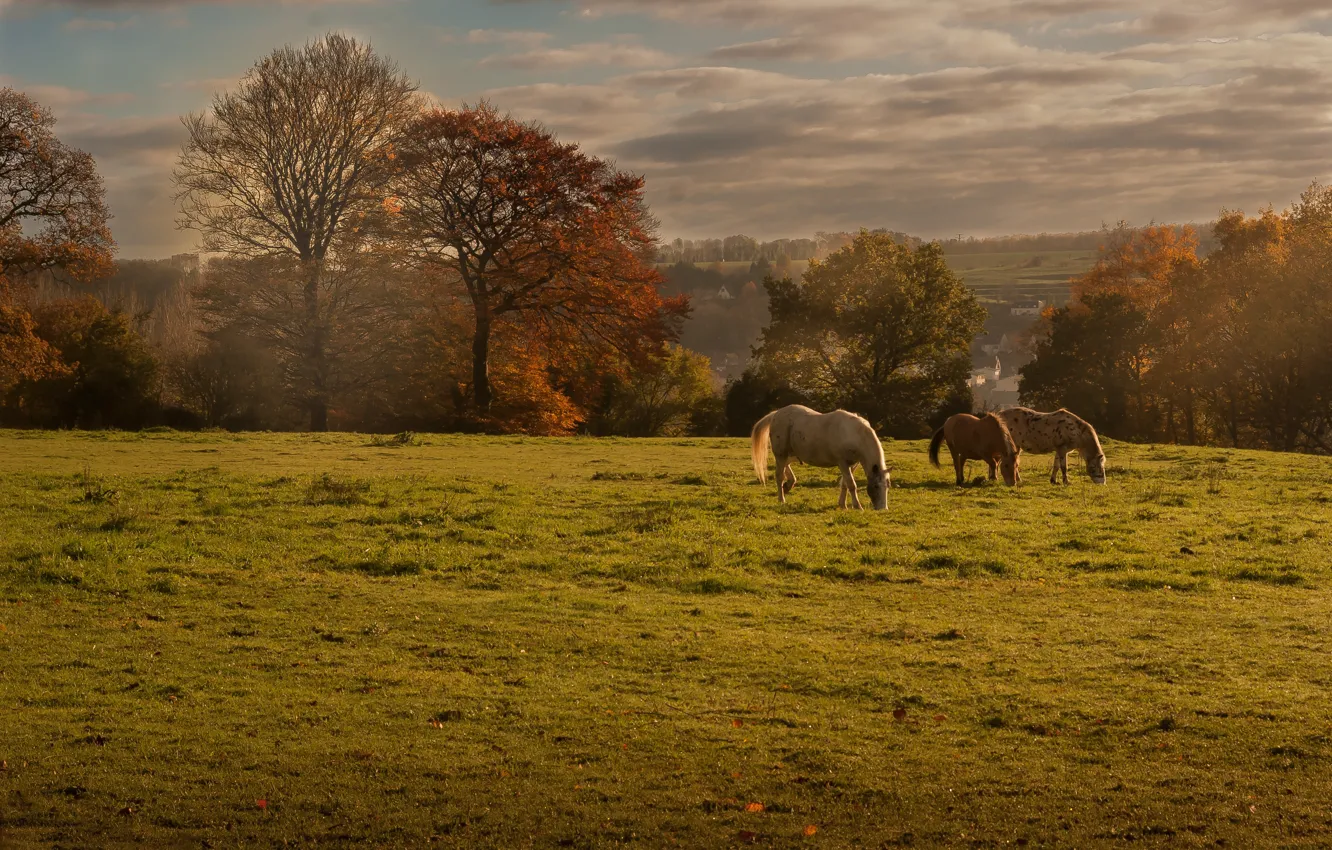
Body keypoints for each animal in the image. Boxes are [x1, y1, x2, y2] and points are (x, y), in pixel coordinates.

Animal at [751, 405, 889, 510]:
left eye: (887, 486)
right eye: (876, 486)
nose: (883, 508)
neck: (854, 433)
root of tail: (776, 413)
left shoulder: (852, 464)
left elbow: (845, 484)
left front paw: (842, 505)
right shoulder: (842, 463)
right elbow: (851, 484)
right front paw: (857, 506)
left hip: (789, 454)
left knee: (786, 468)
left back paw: (788, 485)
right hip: (781, 454)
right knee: (779, 476)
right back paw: (782, 499)